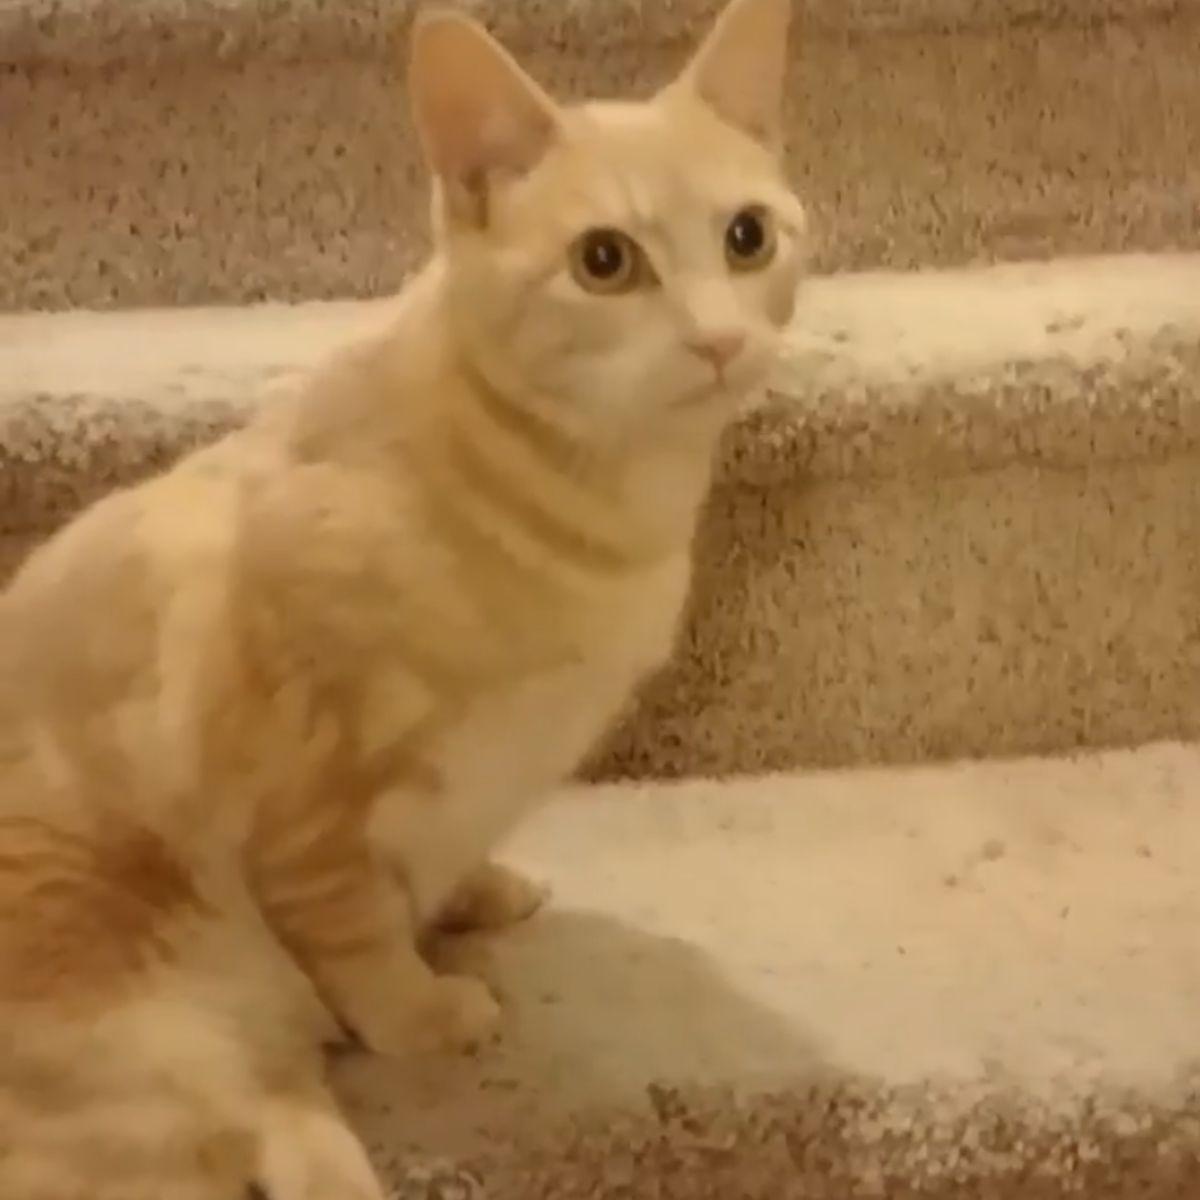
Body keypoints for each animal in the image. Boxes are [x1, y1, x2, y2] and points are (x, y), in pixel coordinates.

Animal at [0, 0, 806, 1195]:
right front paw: (422, 1010)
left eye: (747, 238)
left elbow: (442, 853)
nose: (718, 339)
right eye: (604, 262)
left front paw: (471, 892)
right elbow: (355, 935)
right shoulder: (302, 801)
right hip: (155, 1033)